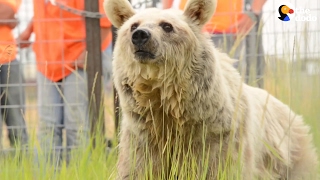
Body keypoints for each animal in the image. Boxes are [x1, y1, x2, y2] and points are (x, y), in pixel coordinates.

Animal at [104, 0, 318, 179]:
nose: (140, 35)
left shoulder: (217, 138)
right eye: (133, 25)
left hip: (290, 154)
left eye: (167, 25)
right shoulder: (143, 139)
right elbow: (137, 170)